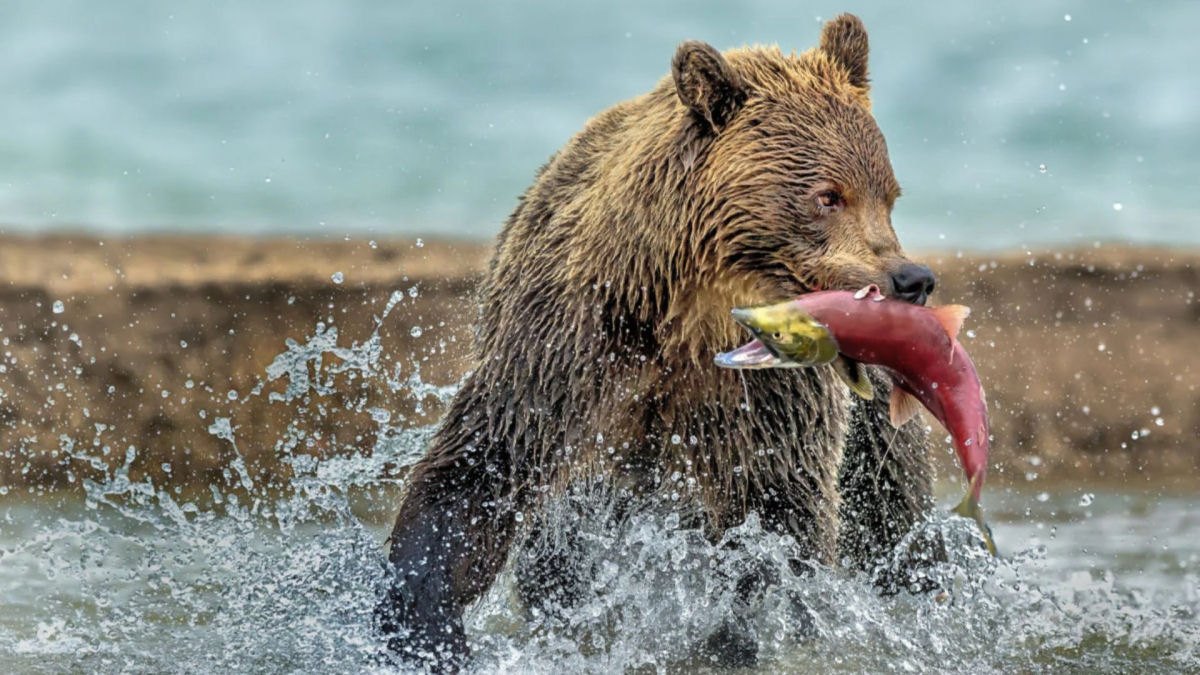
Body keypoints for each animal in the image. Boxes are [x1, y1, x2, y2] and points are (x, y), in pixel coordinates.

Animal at [379, 11, 940, 667]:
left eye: (889, 194)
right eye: (828, 195)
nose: (911, 280)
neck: (686, 313)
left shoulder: (764, 398)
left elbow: (777, 515)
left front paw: (739, 633)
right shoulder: (566, 348)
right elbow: (483, 467)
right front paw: (423, 622)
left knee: (892, 514)